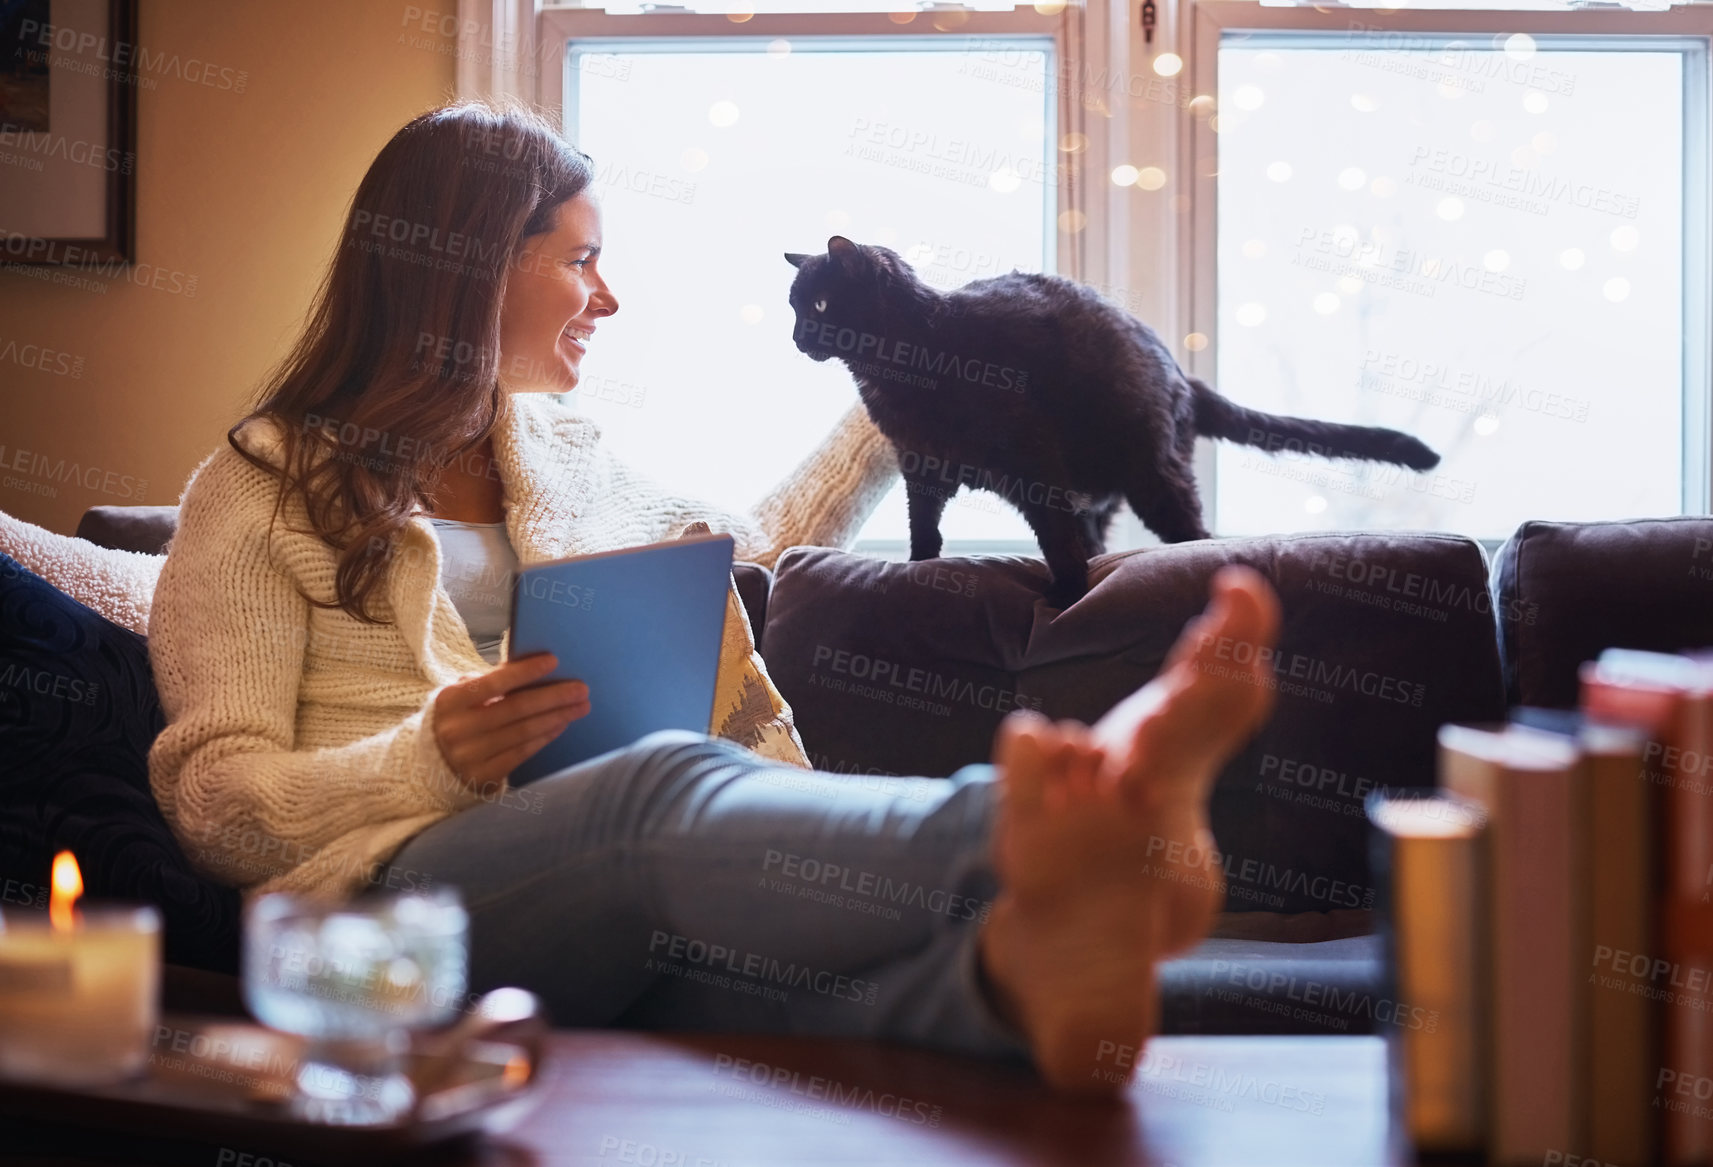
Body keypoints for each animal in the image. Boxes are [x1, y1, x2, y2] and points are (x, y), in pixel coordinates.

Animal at [784, 231, 1438, 606]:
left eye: (819, 304)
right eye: (794, 307)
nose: (795, 339)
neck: (905, 361)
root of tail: (1182, 375)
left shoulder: (1032, 462)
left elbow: (1053, 536)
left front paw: (1066, 593)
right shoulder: (920, 464)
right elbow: (924, 525)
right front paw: (918, 569)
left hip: (1153, 478)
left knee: (1194, 538)